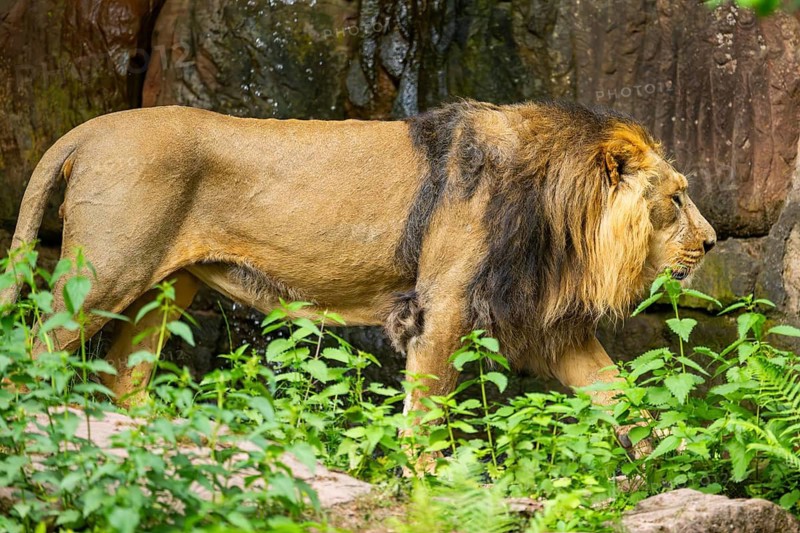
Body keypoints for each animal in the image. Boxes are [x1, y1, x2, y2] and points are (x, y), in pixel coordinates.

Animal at [1, 100, 715, 427]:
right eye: (677, 198)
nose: (712, 243)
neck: (558, 213)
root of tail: (89, 128)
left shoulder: (550, 328)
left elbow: (622, 400)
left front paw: (657, 467)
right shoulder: (440, 310)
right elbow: (424, 421)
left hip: (163, 292)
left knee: (126, 383)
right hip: (102, 277)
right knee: (32, 353)